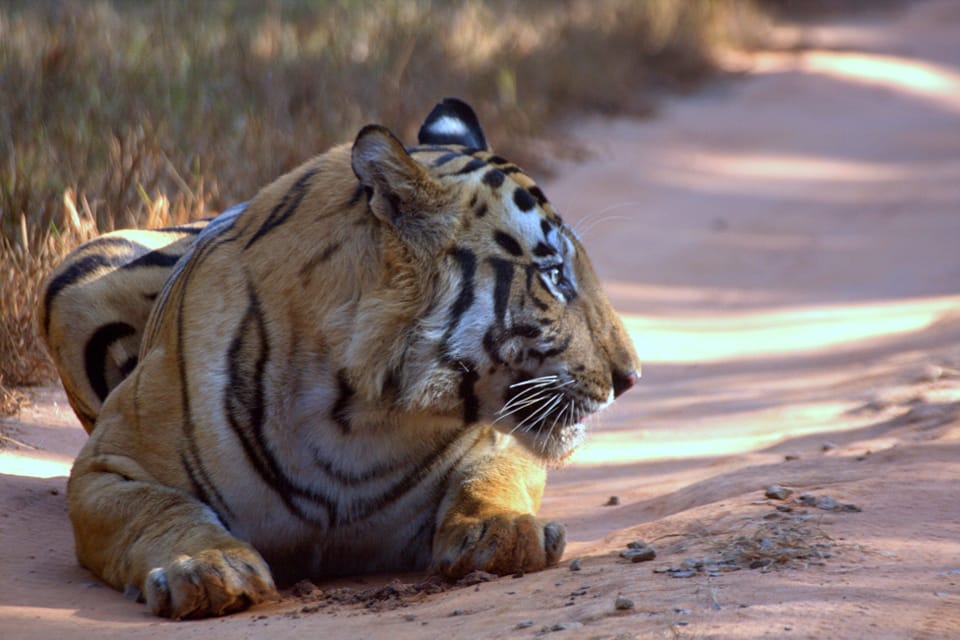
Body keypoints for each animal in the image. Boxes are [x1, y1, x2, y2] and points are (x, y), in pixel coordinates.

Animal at [39, 100, 636, 620]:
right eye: (554, 275)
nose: (629, 377)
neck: (358, 416)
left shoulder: (499, 439)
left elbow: (491, 475)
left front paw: (506, 531)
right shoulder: (106, 466)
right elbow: (160, 508)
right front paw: (206, 568)